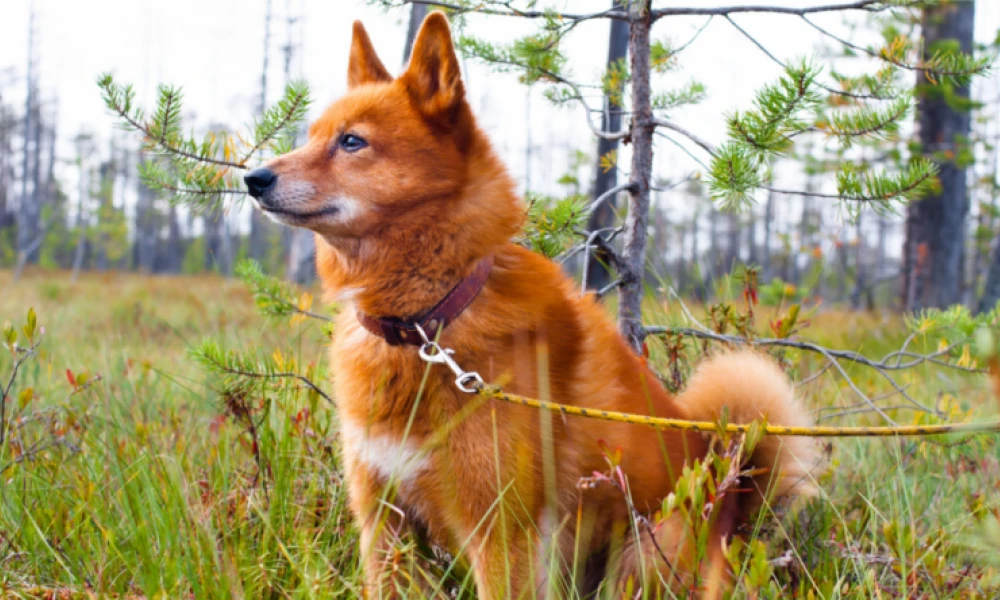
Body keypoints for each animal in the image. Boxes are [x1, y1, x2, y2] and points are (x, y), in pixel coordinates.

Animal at [246, 11, 816, 596]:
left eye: (352, 142)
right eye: (312, 137)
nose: (253, 178)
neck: (428, 323)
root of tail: (734, 504)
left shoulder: (503, 534)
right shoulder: (384, 526)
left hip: (645, 553)